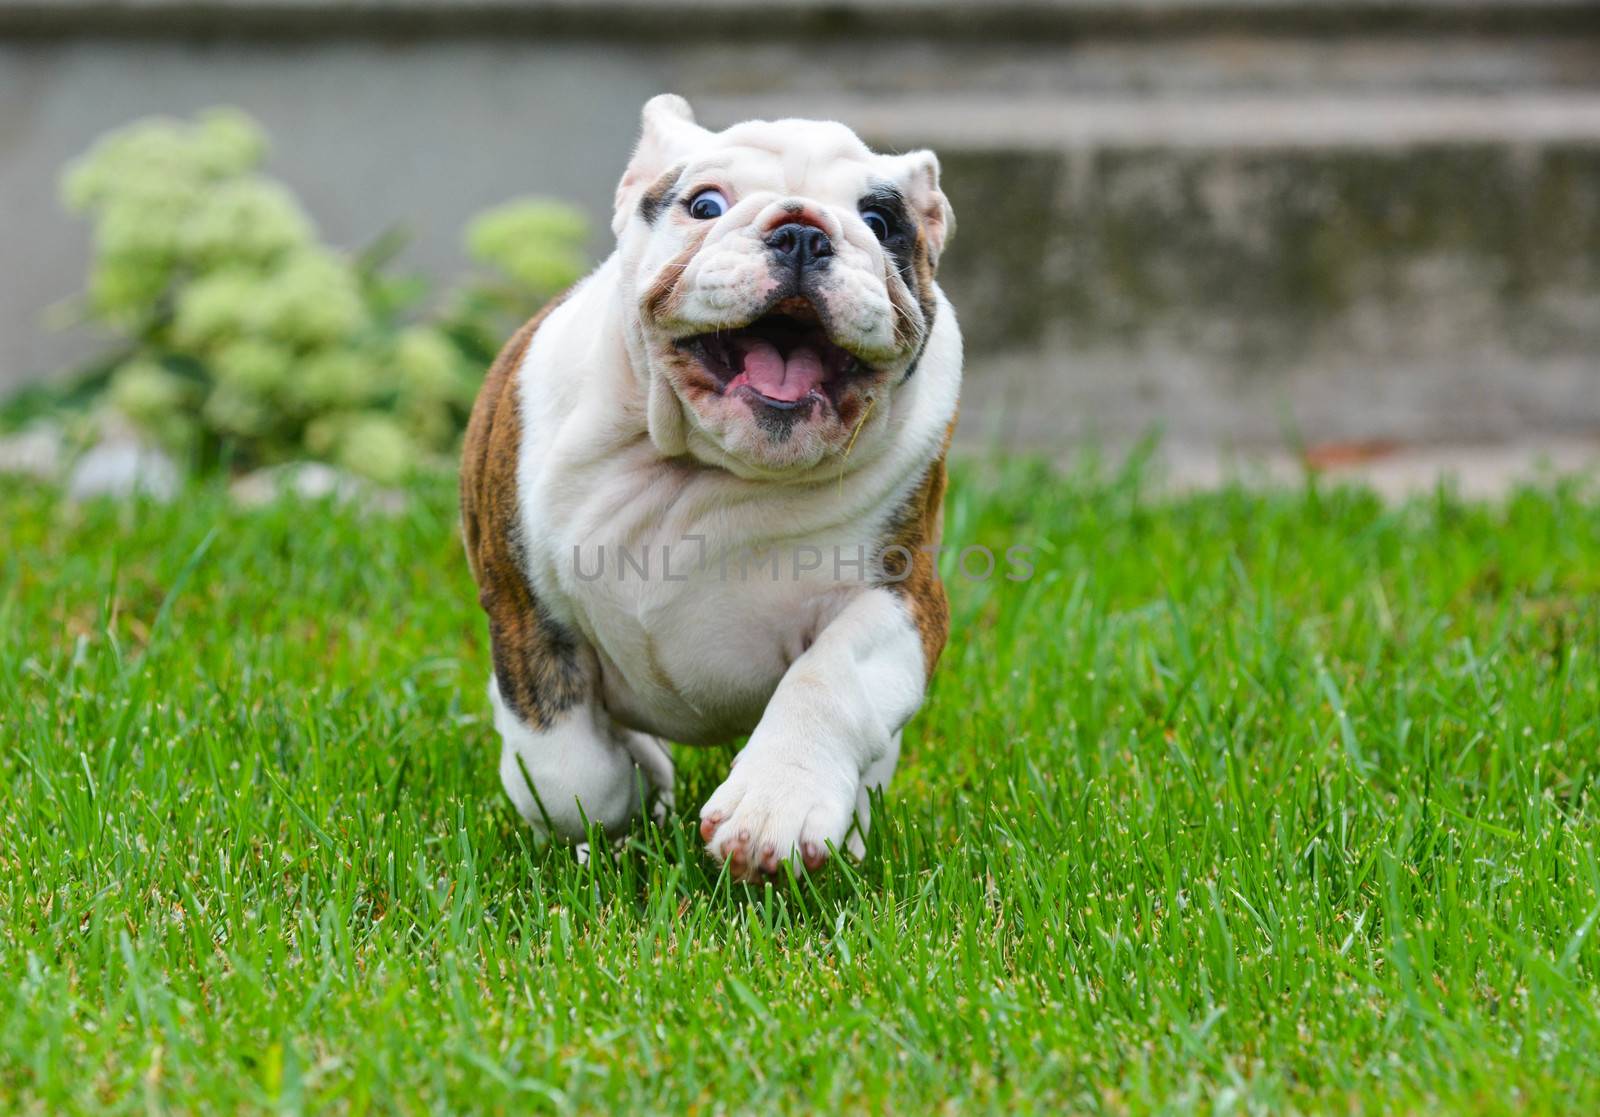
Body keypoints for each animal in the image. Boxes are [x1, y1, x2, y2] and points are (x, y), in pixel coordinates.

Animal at [464, 95, 960, 876]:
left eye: (881, 223)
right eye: (704, 204)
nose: (802, 232)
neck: (705, 468)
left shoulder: (900, 598)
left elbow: (828, 679)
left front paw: (776, 807)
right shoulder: (524, 607)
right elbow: (569, 767)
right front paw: (632, 785)